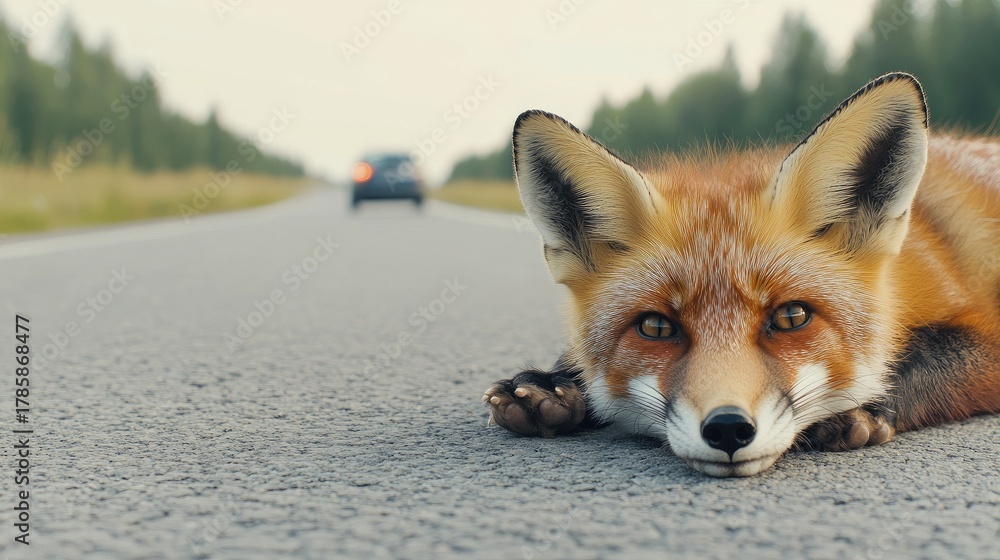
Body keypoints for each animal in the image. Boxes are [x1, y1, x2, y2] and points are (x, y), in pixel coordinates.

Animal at [482, 72, 1000, 477]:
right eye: (655, 327)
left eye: (791, 318)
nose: (728, 428)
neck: (903, 277)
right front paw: (556, 382)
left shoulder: (987, 337)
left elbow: (916, 355)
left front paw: (863, 407)